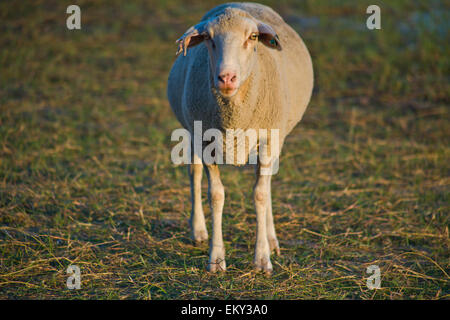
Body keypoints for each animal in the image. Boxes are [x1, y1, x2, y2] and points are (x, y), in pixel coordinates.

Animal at [166, 1, 312, 274]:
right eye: (208, 38)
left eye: (252, 37)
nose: (226, 78)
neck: (233, 118)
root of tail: (242, 4)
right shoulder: (205, 140)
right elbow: (216, 195)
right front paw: (216, 259)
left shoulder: (268, 140)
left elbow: (260, 195)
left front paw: (263, 259)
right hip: (191, 131)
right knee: (194, 172)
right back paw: (198, 230)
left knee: (266, 183)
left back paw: (272, 239)